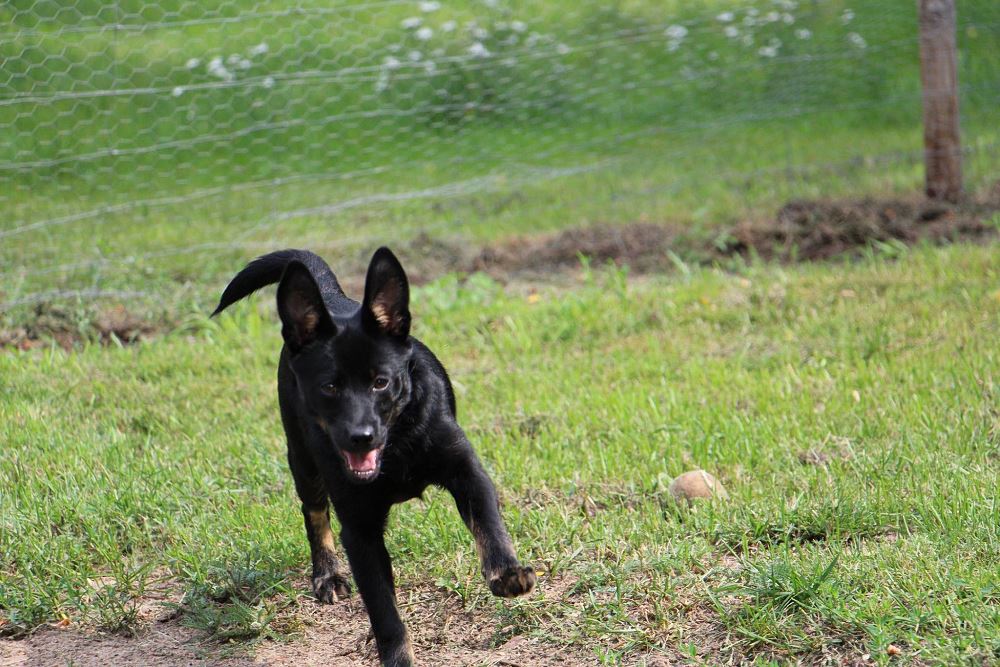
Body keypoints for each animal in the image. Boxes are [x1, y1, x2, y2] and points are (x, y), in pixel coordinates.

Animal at [212, 248, 535, 666]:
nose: (360, 437)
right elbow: (383, 610)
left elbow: (488, 523)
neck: (395, 449)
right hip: (302, 457)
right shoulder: (359, 530)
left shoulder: (466, 471)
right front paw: (398, 657)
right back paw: (327, 574)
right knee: (313, 510)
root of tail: (332, 297)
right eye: (329, 387)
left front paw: (506, 574)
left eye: (381, 382)